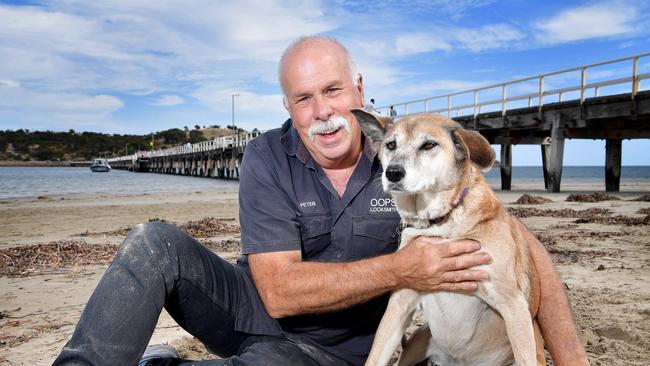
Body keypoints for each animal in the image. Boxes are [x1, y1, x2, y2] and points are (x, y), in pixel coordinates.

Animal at [352, 110, 544, 366]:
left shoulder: (513, 304)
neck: (440, 226)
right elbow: (375, 357)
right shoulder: (400, 303)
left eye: (429, 145)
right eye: (391, 145)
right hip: (419, 341)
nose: (392, 173)